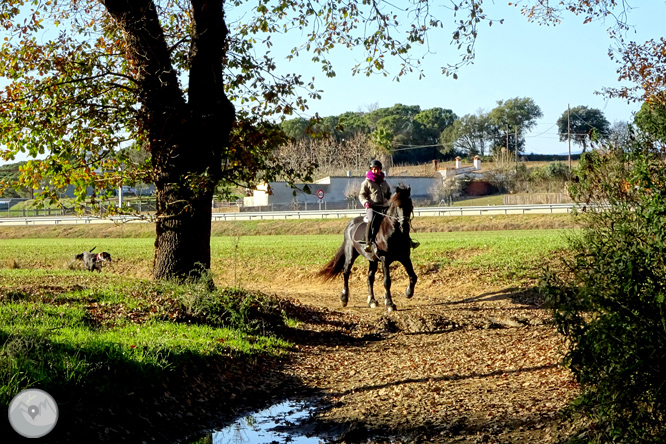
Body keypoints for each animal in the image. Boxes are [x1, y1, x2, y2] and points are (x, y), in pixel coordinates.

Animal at [316, 184, 416, 312]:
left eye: (410, 204)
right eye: (398, 206)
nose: (404, 226)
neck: (394, 233)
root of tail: (350, 224)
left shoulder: (404, 257)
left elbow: (413, 276)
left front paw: (408, 292)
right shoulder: (385, 259)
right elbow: (387, 281)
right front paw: (389, 303)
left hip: (372, 260)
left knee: (370, 278)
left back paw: (372, 300)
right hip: (350, 254)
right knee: (346, 272)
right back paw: (344, 298)